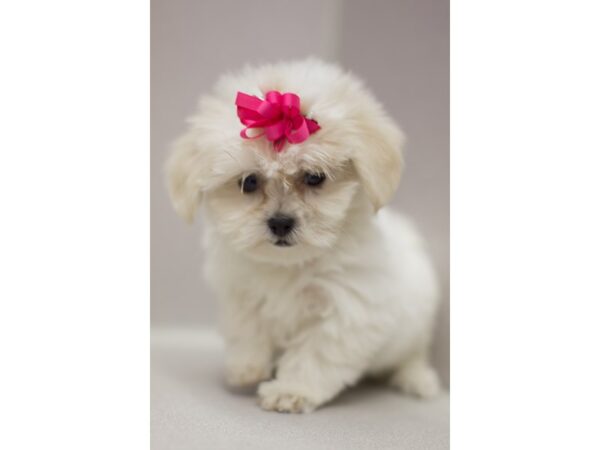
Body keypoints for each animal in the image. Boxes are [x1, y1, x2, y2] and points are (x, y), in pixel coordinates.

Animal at [166, 59, 438, 414]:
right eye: (249, 182)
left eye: (314, 177)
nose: (281, 223)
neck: (289, 264)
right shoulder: (240, 291)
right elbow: (247, 328)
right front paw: (246, 367)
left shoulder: (348, 307)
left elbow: (317, 352)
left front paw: (291, 389)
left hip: (418, 322)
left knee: (412, 355)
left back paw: (418, 379)